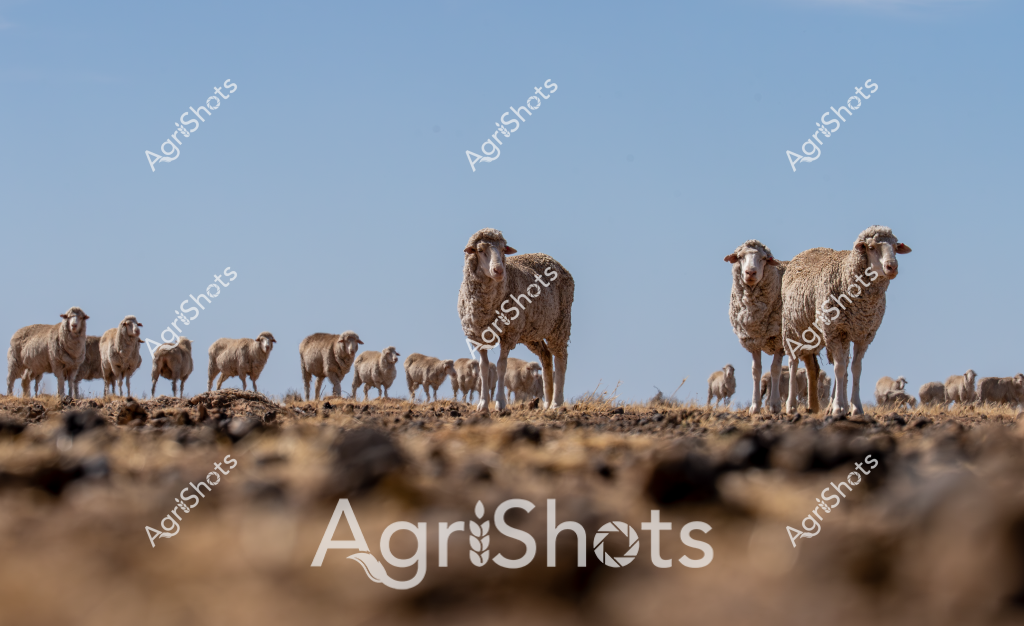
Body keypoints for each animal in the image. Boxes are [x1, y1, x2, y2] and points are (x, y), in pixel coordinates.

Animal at [458, 229, 575, 411]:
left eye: (503, 249)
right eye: (480, 250)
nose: (499, 270)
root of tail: (550, 258)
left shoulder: (509, 333)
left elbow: (501, 366)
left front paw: (500, 403)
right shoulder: (479, 336)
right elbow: (484, 368)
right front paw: (483, 404)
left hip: (560, 324)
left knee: (561, 359)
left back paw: (556, 403)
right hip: (532, 333)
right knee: (546, 356)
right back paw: (547, 403)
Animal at [725, 240, 787, 416]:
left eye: (764, 258)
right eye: (740, 257)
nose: (750, 273)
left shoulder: (778, 339)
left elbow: (775, 369)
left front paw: (775, 405)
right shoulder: (753, 340)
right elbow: (756, 371)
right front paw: (755, 406)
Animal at [781, 226, 912, 416]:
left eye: (895, 247)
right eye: (871, 247)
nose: (892, 266)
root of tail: (810, 250)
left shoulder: (863, 334)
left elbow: (855, 369)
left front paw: (855, 407)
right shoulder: (834, 331)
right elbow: (839, 368)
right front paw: (837, 408)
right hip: (793, 329)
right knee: (793, 362)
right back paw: (791, 406)